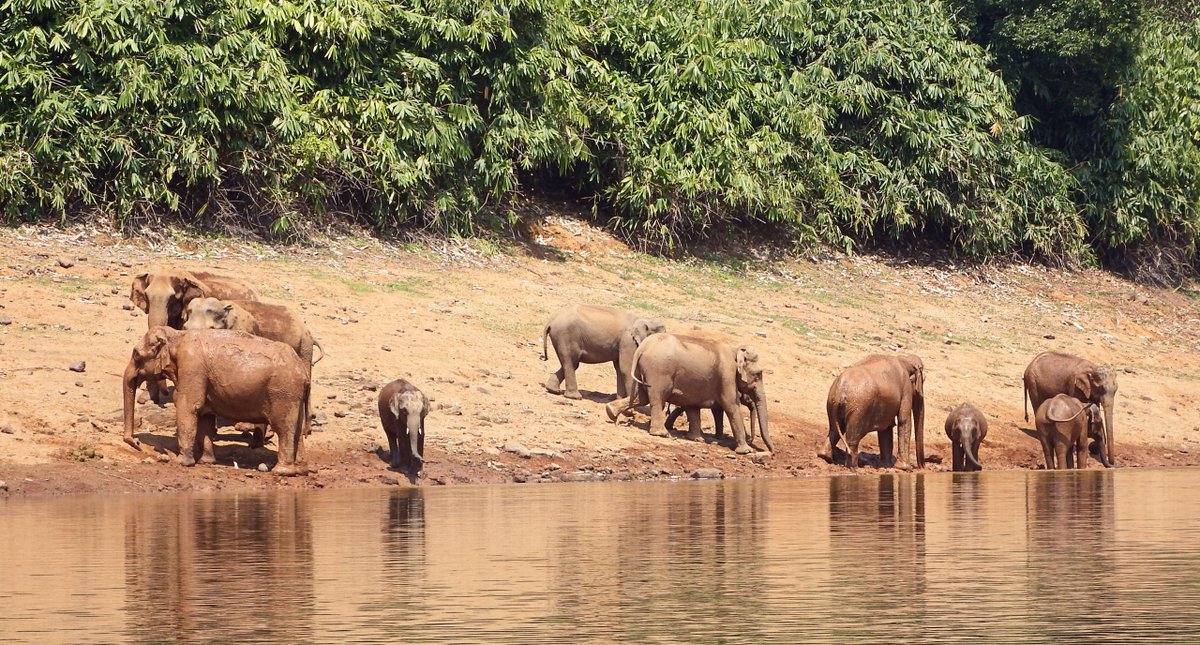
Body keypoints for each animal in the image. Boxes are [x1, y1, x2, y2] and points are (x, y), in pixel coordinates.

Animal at [122, 327, 310, 475]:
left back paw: (282, 472)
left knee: (284, 428)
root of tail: (303, 372)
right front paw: (206, 462)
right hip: (295, 396)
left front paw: (181, 462)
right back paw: (300, 470)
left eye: (136, 355)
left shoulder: (192, 367)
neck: (177, 335)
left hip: (283, 393)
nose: (137, 443)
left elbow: (187, 407)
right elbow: (205, 415)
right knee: (297, 430)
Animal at [604, 334, 772, 455]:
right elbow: (731, 406)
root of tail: (642, 347)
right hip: (659, 371)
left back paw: (610, 412)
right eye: (758, 374)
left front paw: (697, 439)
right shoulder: (727, 376)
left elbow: (692, 406)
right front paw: (745, 451)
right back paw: (662, 434)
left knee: (642, 397)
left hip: (644, 370)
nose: (771, 452)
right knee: (657, 398)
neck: (735, 349)